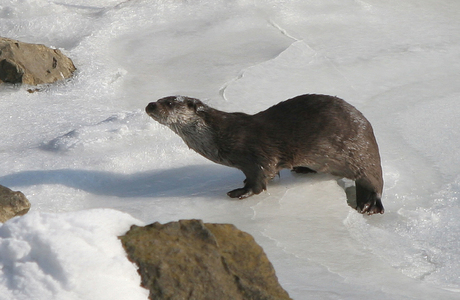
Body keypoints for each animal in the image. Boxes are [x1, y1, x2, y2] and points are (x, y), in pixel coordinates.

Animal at [146, 95, 382, 214]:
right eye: (159, 98)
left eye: (168, 102)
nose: (150, 104)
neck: (219, 135)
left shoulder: (257, 153)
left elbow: (260, 177)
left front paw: (241, 191)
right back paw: (303, 169)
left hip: (361, 151)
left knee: (374, 181)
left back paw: (369, 205)